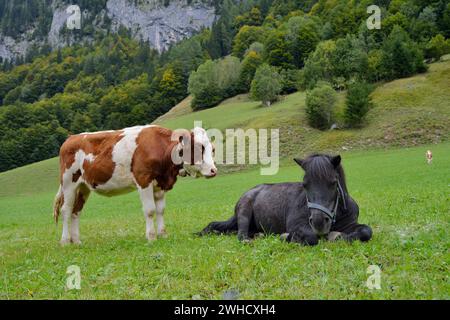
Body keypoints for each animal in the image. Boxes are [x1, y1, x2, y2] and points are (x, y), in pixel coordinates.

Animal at [53, 125, 217, 245]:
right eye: (198, 148)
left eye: (213, 149)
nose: (214, 170)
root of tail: (71, 138)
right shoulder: (143, 180)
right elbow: (150, 210)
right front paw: (151, 237)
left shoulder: (160, 184)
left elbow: (160, 210)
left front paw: (163, 234)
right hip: (68, 183)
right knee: (66, 210)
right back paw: (65, 241)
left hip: (83, 187)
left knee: (76, 212)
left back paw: (77, 241)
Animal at [200, 154, 372, 245]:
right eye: (305, 184)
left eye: (334, 183)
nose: (318, 223)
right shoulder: (296, 225)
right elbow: (311, 237)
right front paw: (286, 236)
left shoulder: (350, 224)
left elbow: (366, 231)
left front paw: (338, 235)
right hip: (244, 211)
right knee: (241, 235)